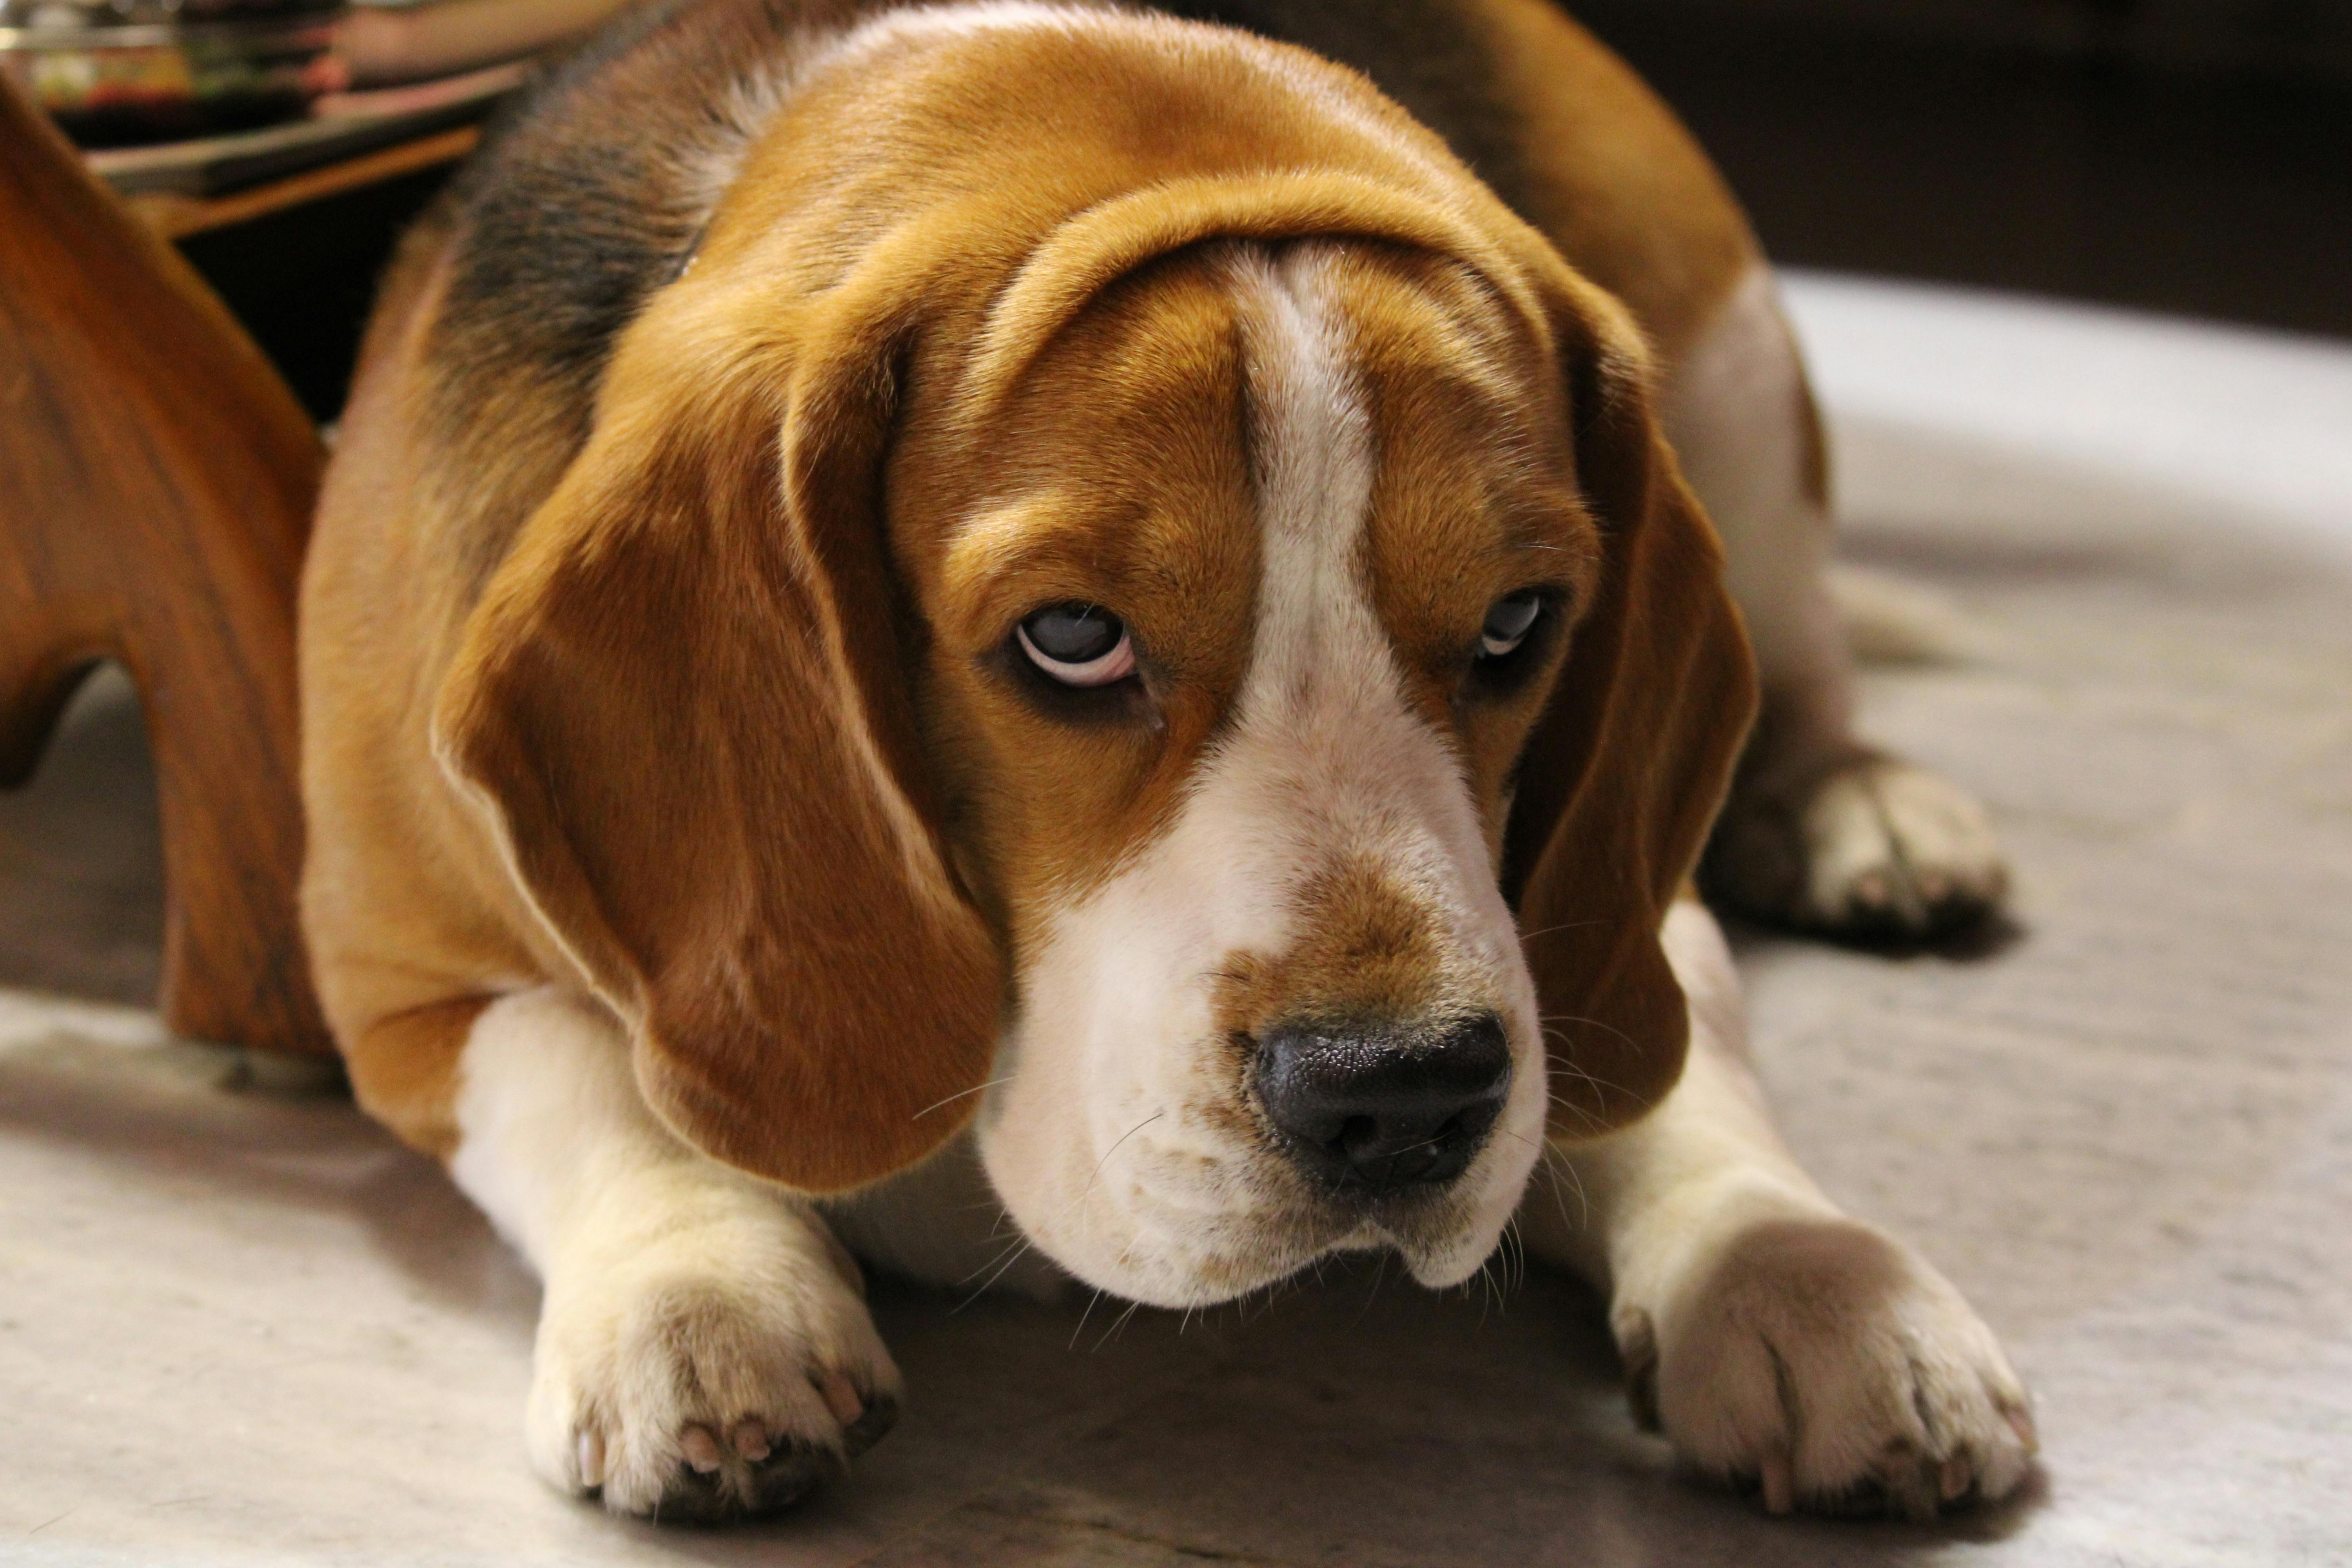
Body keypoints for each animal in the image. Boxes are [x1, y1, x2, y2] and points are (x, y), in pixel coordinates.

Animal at [294, 0, 2023, 1533]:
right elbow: (583, 1071)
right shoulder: (394, 979)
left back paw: (1866, 809)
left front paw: (1798, 1276)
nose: (1402, 1095)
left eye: (1521, 621)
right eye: (1072, 638)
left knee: (1809, 667)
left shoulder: (1613, 926)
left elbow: (1672, 1061)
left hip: (1735, 381)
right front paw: (698, 1298)